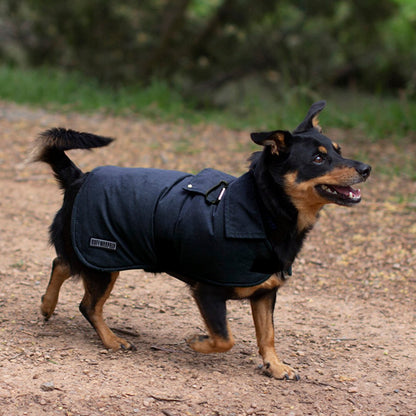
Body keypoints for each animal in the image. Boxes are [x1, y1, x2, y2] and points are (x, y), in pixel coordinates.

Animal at [32, 101, 370, 380]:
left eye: (339, 150)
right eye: (318, 159)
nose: (366, 168)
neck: (262, 210)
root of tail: (79, 177)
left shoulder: (265, 293)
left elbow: (267, 334)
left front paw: (274, 366)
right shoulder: (208, 291)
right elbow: (225, 338)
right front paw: (197, 342)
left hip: (94, 257)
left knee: (61, 263)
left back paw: (47, 305)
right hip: (103, 261)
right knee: (88, 304)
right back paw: (112, 339)